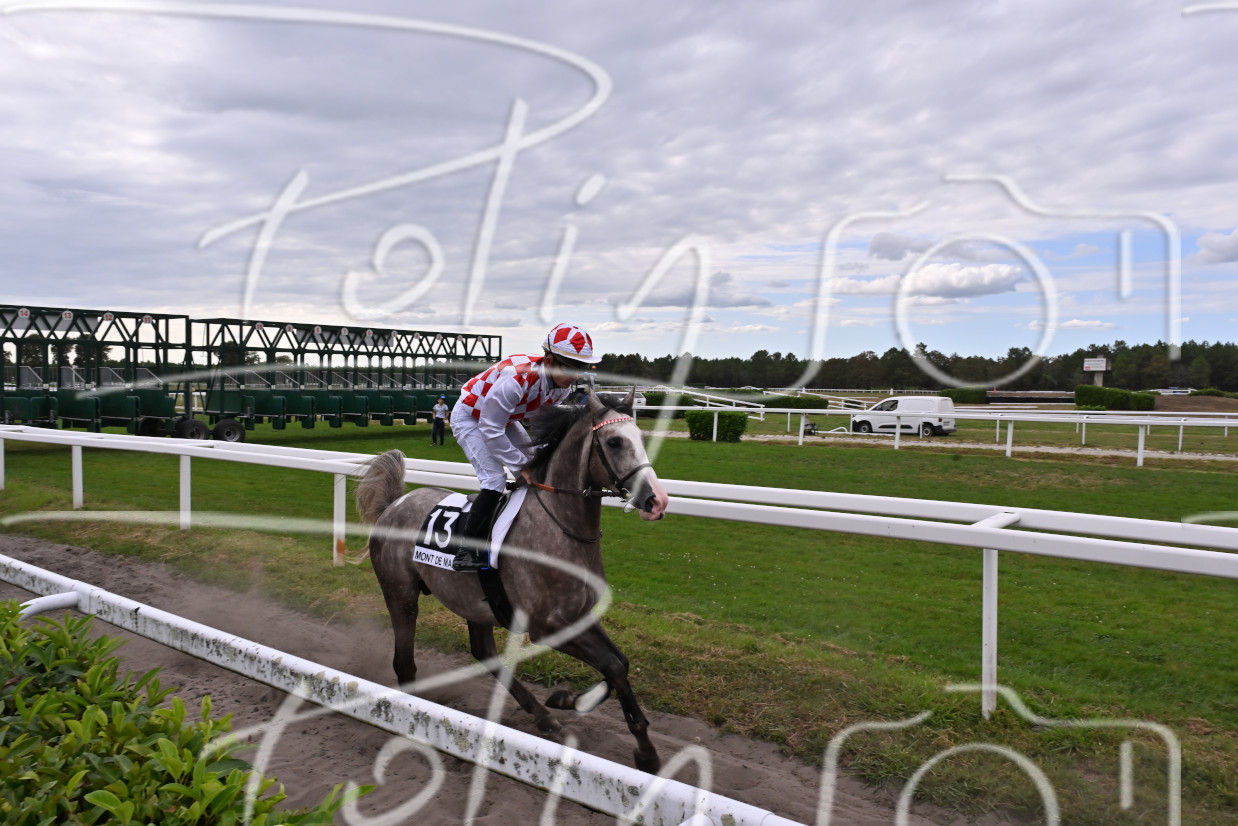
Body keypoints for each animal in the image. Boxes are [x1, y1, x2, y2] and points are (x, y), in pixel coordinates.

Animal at [355, 388, 670, 772]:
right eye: (613, 441)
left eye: (642, 437)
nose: (657, 500)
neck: (559, 527)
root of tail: (393, 505)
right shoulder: (545, 627)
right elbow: (611, 665)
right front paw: (585, 708)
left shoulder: (578, 615)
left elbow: (619, 665)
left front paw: (635, 743)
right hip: (401, 593)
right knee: (404, 661)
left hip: (472, 602)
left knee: (483, 652)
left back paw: (541, 715)